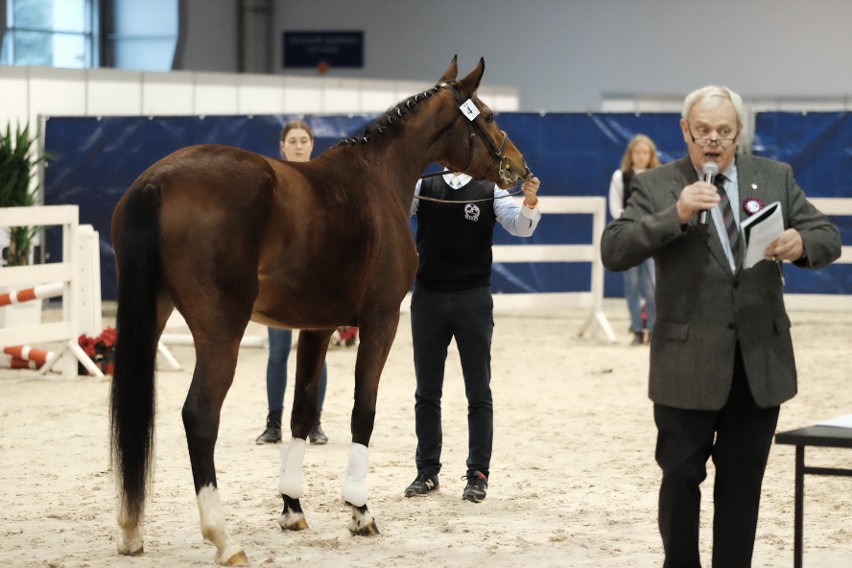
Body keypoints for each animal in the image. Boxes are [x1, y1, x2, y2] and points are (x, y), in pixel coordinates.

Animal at [110, 56, 528, 564]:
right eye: (488, 115)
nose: (519, 168)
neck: (378, 178)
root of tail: (157, 181)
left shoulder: (316, 327)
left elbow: (301, 413)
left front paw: (292, 507)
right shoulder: (382, 320)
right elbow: (362, 411)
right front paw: (360, 511)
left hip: (152, 315)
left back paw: (131, 532)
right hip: (221, 330)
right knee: (200, 415)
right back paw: (223, 537)